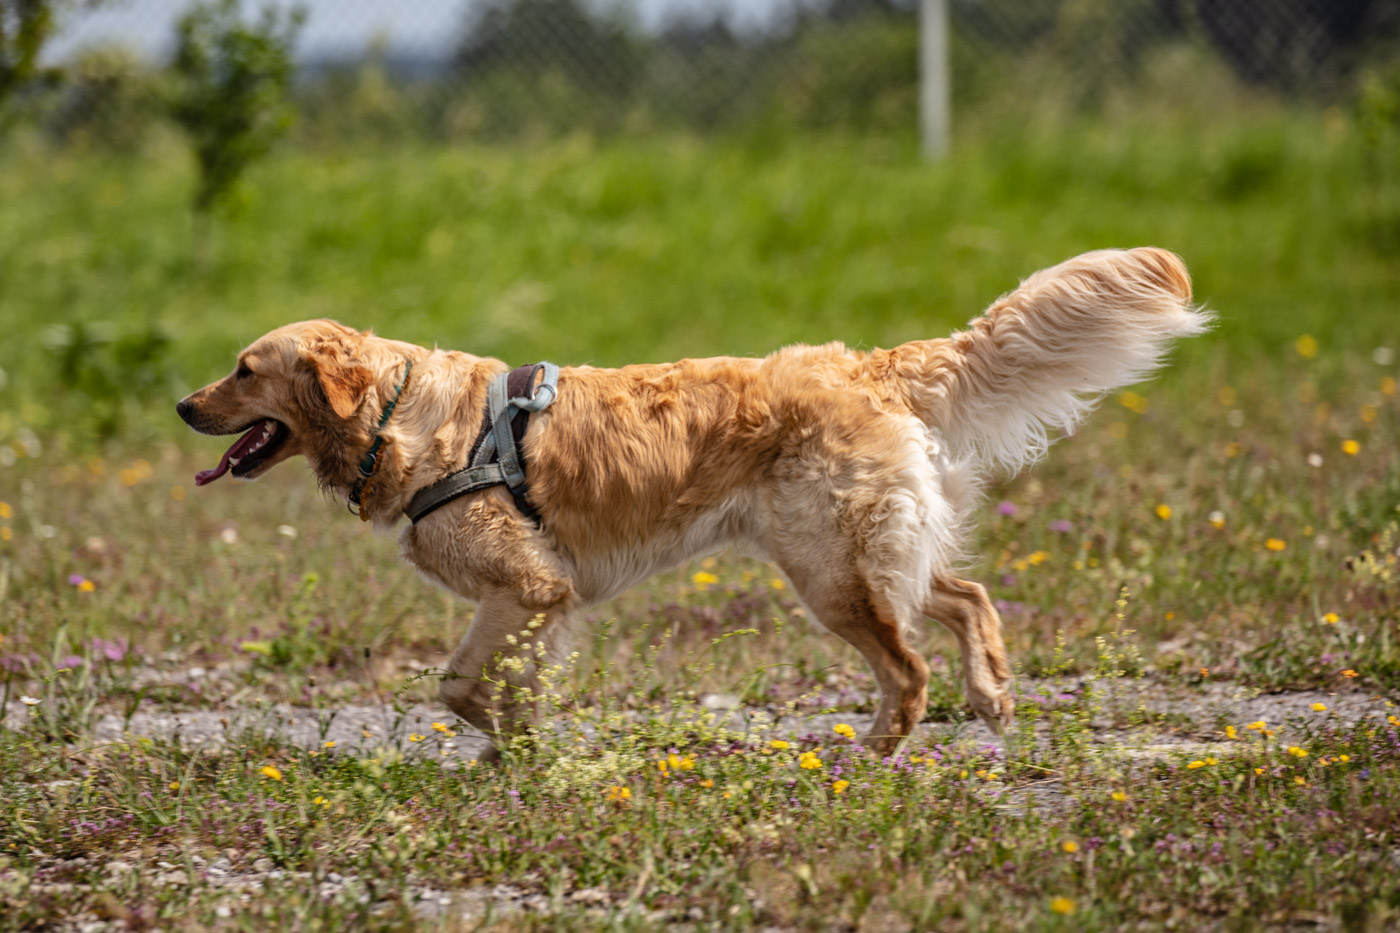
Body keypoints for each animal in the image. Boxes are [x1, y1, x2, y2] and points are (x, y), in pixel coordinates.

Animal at [172, 249, 1204, 756]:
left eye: (243, 369)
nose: (182, 405)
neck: (397, 415)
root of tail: (864, 364)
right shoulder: (537, 601)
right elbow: (499, 687)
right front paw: (524, 751)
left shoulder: (528, 587)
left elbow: (459, 685)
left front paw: (515, 746)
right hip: (860, 553)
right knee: (965, 598)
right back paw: (990, 695)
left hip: (829, 571)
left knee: (908, 667)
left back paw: (868, 754)